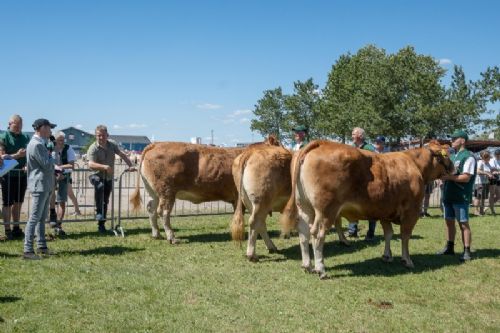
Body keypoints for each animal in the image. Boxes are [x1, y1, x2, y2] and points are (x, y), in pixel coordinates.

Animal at [280, 139, 456, 278]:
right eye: (447, 155)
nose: (454, 169)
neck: (414, 164)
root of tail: (321, 142)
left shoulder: (385, 211)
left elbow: (388, 234)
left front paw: (387, 256)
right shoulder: (411, 211)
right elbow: (405, 236)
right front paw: (407, 260)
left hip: (304, 207)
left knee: (303, 233)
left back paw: (307, 265)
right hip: (325, 210)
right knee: (317, 234)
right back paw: (321, 269)